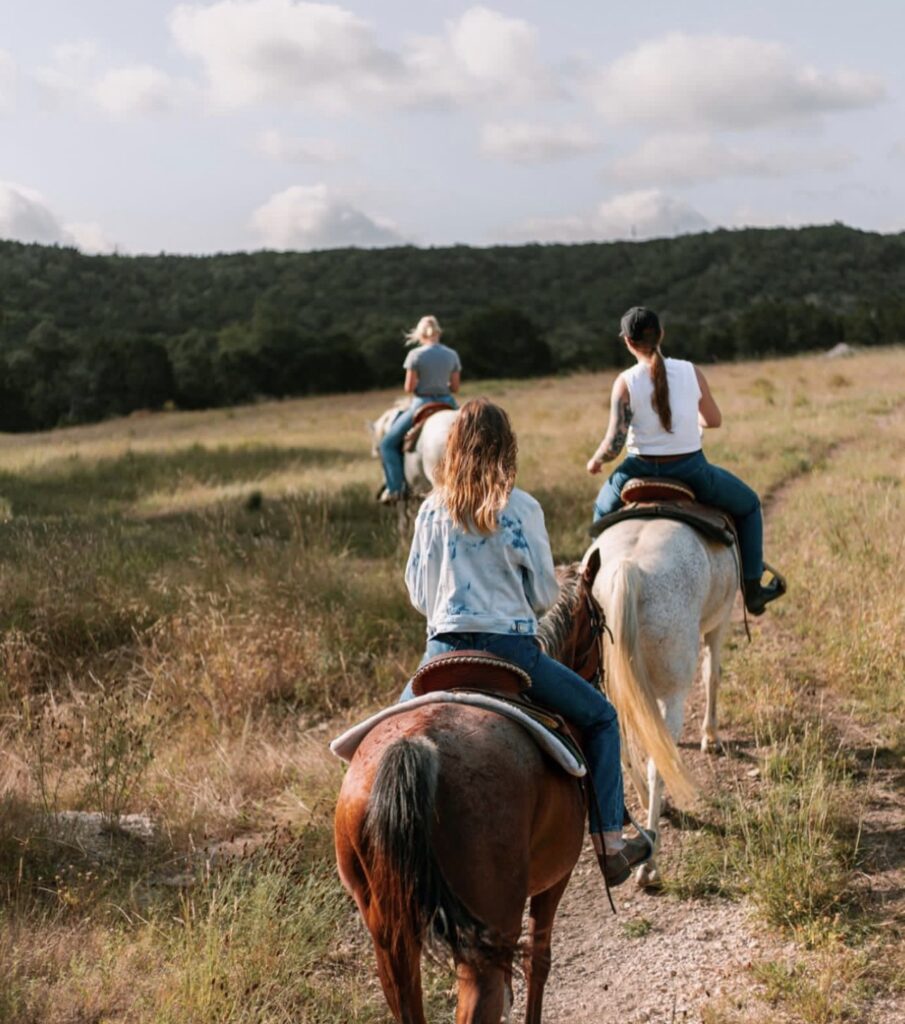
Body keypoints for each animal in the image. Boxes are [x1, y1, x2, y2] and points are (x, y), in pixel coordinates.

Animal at [333, 565, 601, 1019]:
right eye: (600, 623)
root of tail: (417, 743)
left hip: (389, 935)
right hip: (483, 936)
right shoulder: (555, 880)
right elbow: (540, 962)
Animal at [585, 520, 741, 888]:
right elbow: (712, 673)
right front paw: (710, 736)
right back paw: (650, 865)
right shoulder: (720, 621)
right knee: (657, 764)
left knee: (621, 748)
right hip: (672, 692)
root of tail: (627, 568)